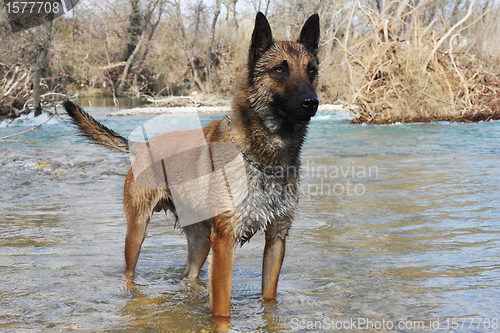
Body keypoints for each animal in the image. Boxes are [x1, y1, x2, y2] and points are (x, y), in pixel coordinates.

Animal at [63, 12, 320, 320]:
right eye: (280, 69)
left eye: (311, 70)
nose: (312, 102)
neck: (264, 159)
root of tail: (141, 146)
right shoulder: (224, 242)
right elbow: (222, 310)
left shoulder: (276, 239)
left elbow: (268, 299)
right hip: (137, 232)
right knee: (129, 273)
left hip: (201, 241)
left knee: (189, 275)